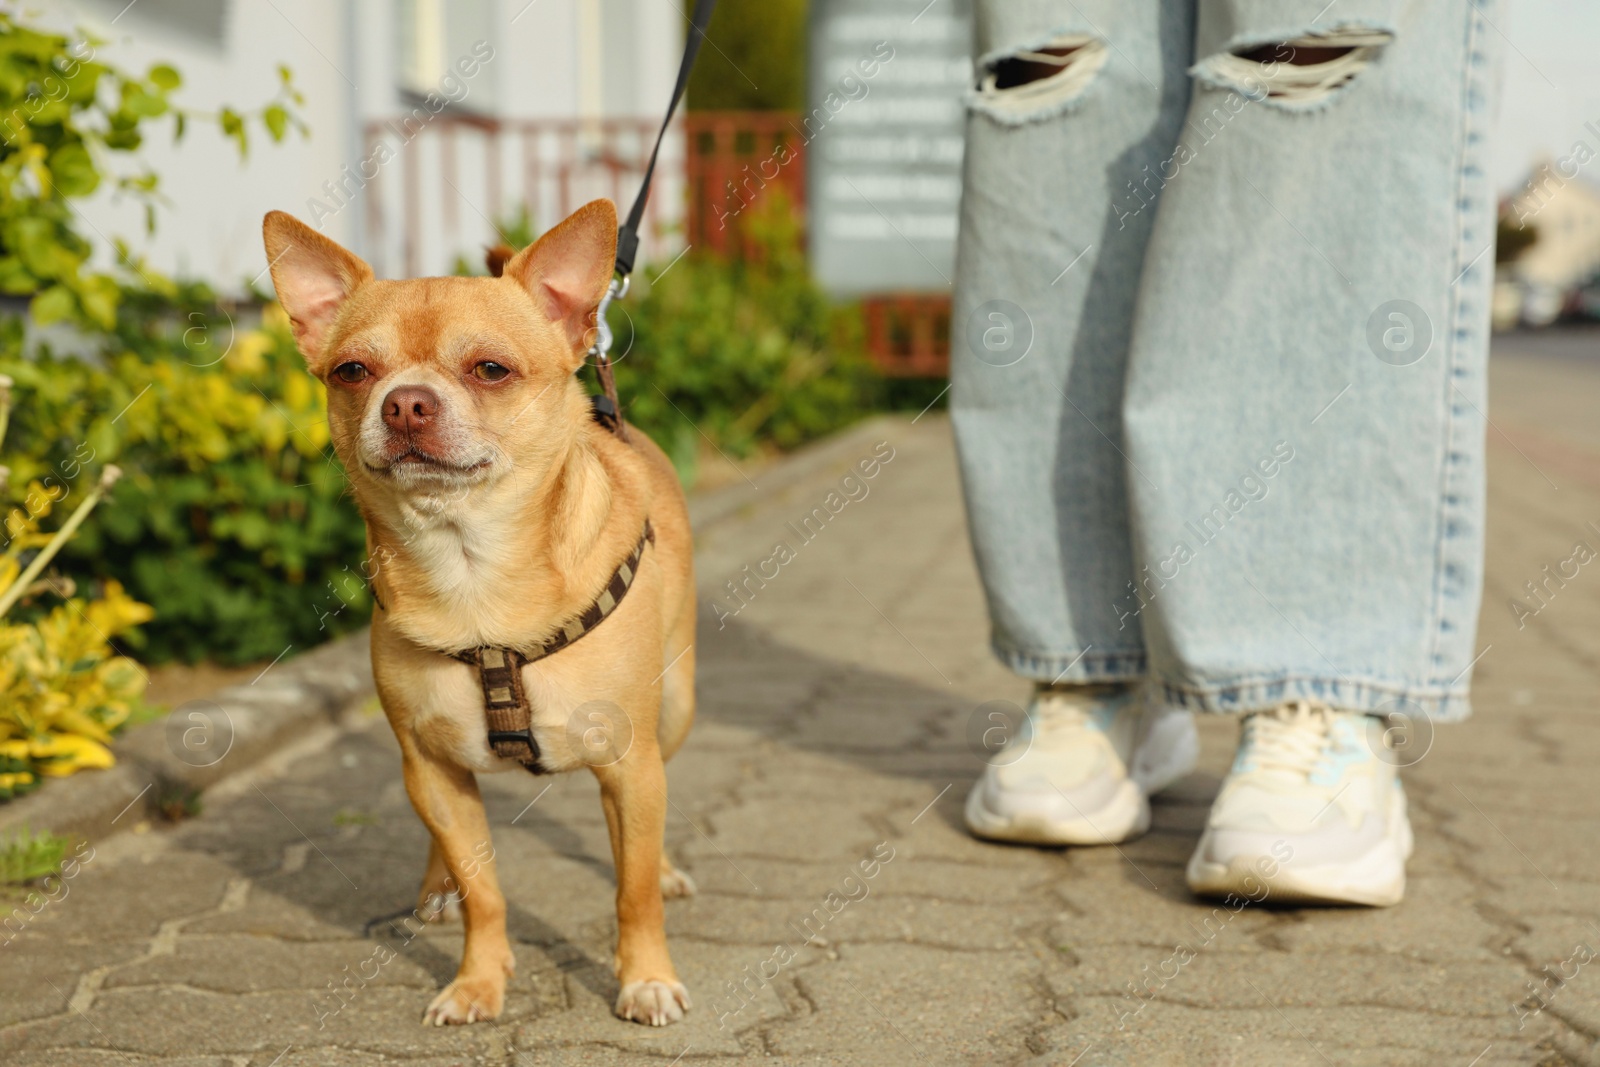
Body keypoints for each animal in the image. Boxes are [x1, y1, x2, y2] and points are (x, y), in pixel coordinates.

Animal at [262, 199, 694, 1023]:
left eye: (490, 369)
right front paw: (478, 979)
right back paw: (436, 887)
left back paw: (664, 867)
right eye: (352, 372)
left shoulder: (632, 766)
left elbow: (630, 890)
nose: (405, 402)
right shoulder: (429, 768)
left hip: (674, 710)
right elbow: (484, 889)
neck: (472, 575)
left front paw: (646, 975)